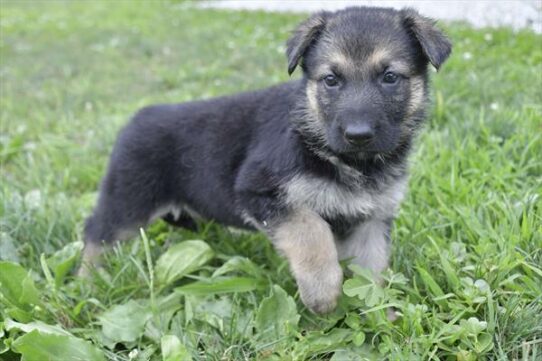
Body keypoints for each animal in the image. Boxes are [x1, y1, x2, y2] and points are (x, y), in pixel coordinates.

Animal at [82, 7, 454, 314]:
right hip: (127, 203)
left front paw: (382, 314)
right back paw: (89, 281)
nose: (358, 134)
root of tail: (138, 116)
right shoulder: (259, 192)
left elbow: (373, 270)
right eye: (331, 80)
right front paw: (322, 292)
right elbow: (312, 230)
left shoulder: (372, 219)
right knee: (96, 234)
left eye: (389, 77)